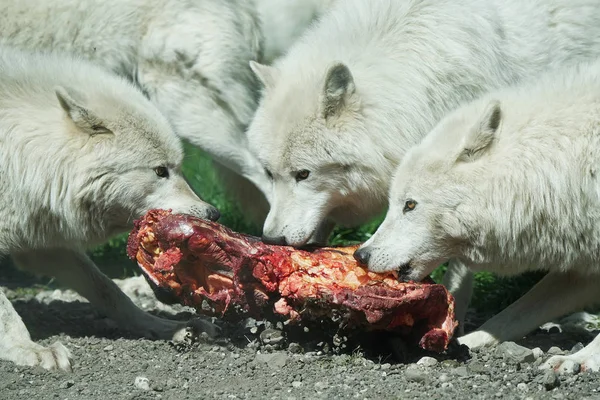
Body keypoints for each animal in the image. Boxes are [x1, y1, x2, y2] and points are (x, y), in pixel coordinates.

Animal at [0, 47, 220, 372]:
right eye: (160, 171)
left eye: (178, 168)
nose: (213, 214)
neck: (25, 157)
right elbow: (5, 311)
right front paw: (29, 349)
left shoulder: (44, 245)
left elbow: (109, 291)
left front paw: (165, 327)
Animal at [354, 61, 600, 374]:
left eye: (409, 204)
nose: (360, 255)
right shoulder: (584, 267)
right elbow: (510, 316)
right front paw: (462, 341)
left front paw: (579, 358)